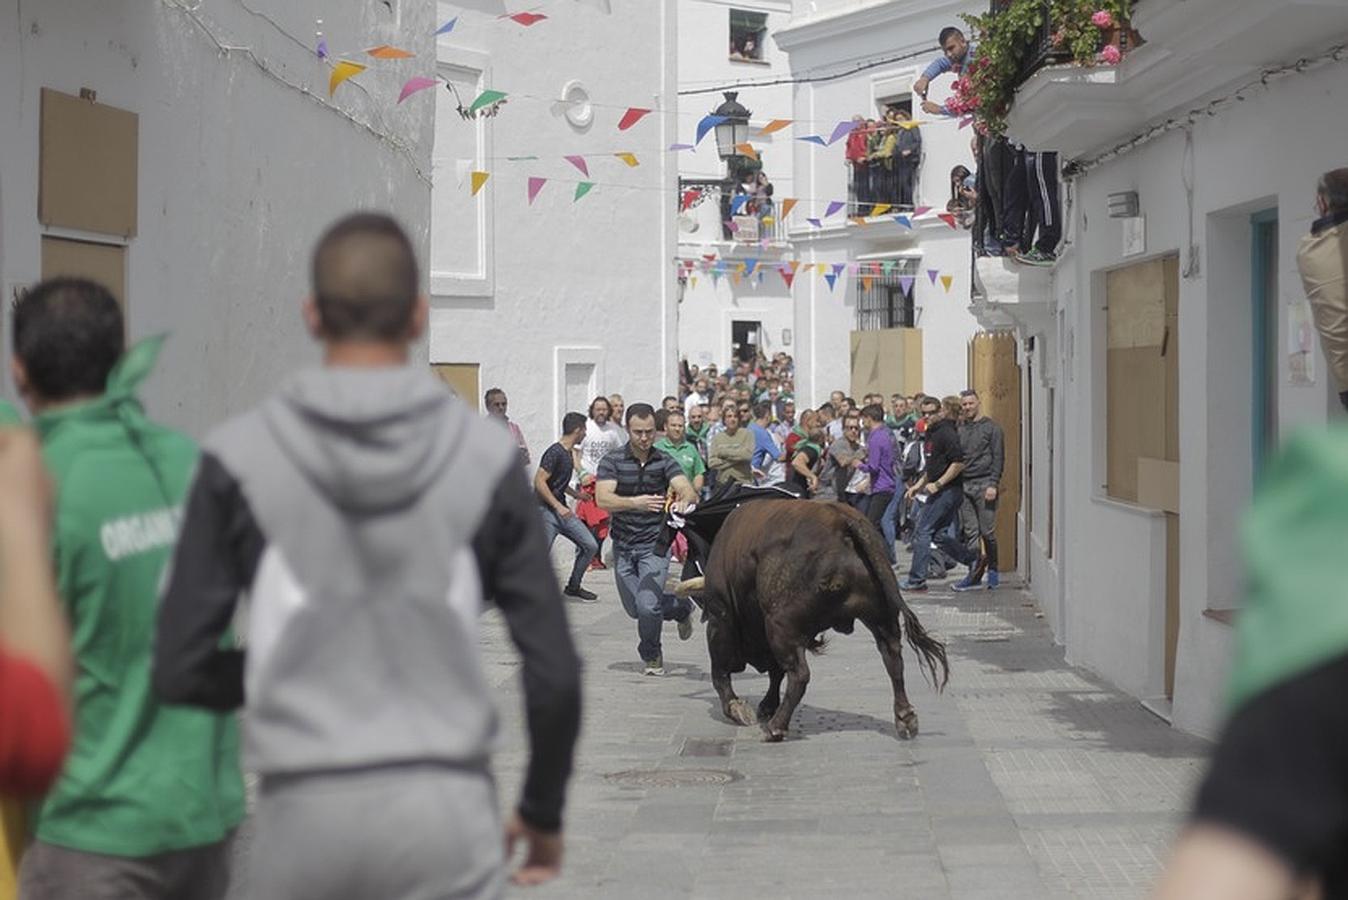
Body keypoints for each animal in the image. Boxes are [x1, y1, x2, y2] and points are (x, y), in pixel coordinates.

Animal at [671, 495, 948, 743]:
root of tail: (842, 521)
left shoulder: (722, 619)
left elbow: (721, 674)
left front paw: (739, 709)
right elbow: (774, 673)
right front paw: (766, 705)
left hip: (781, 625)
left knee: (800, 674)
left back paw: (776, 728)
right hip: (881, 617)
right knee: (893, 660)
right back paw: (906, 719)